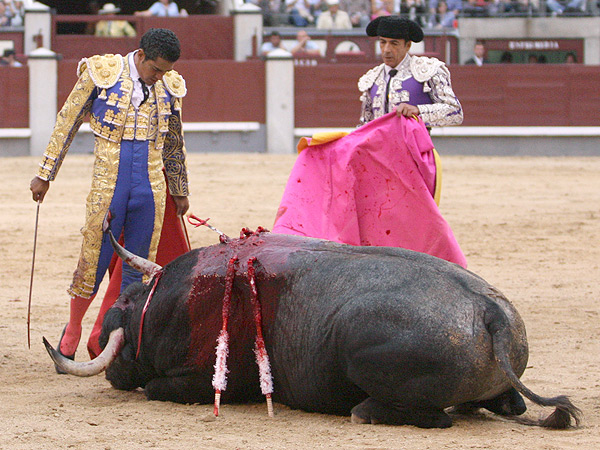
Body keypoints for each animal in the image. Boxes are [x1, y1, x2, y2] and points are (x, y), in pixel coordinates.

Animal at [47, 229, 580, 428]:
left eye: (114, 331)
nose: (108, 366)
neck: (161, 307)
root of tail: (488, 310)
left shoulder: (203, 381)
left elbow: (156, 387)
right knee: (506, 404)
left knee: (434, 417)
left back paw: (366, 410)